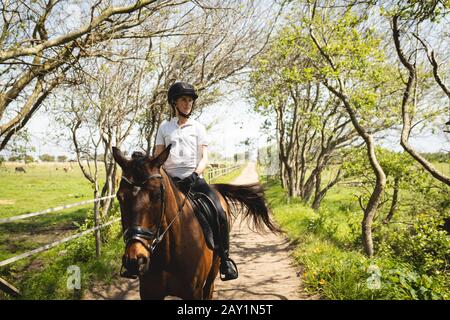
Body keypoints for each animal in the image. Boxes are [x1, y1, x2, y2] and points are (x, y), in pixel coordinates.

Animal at [112, 145, 280, 300]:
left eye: (157, 196)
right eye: (120, 197)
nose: (135, 260)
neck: (168, 254)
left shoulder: (193, 292)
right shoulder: (150, 293)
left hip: (213, 271)